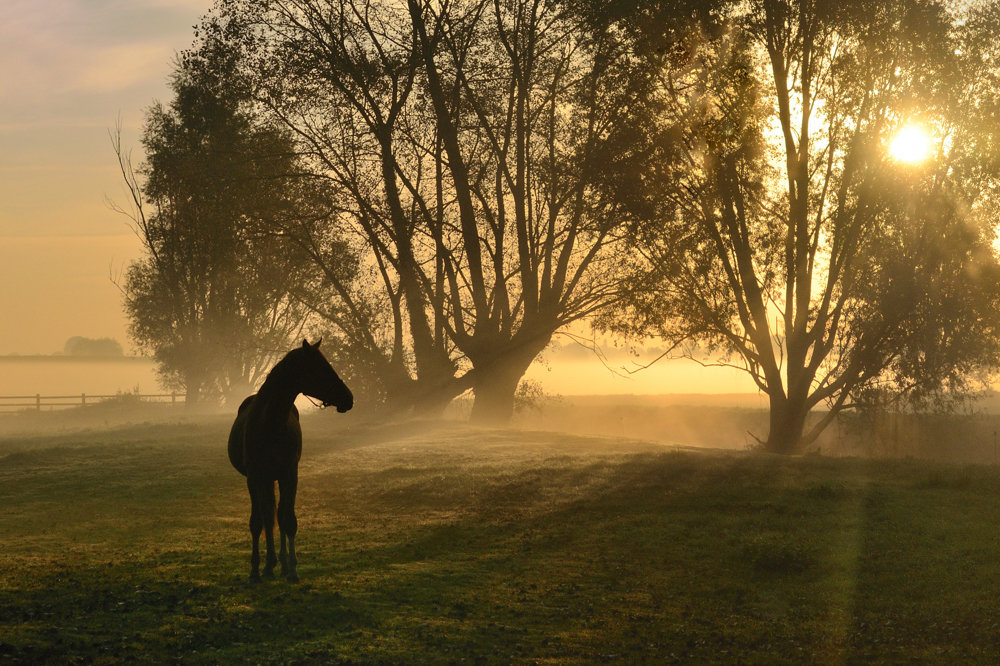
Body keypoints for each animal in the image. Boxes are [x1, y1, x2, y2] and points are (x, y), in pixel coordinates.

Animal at [229, 340, 354, 580]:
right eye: (319, 368)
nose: (348, 398)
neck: (270, 423)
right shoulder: (254, 477)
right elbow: (257, 522)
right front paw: (255, 570)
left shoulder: (289, 475)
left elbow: (288, 520)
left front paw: (292, 568)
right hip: (266, 479)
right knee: (268, 515)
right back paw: (268, 565)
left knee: (277, 513)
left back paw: (280, 563)